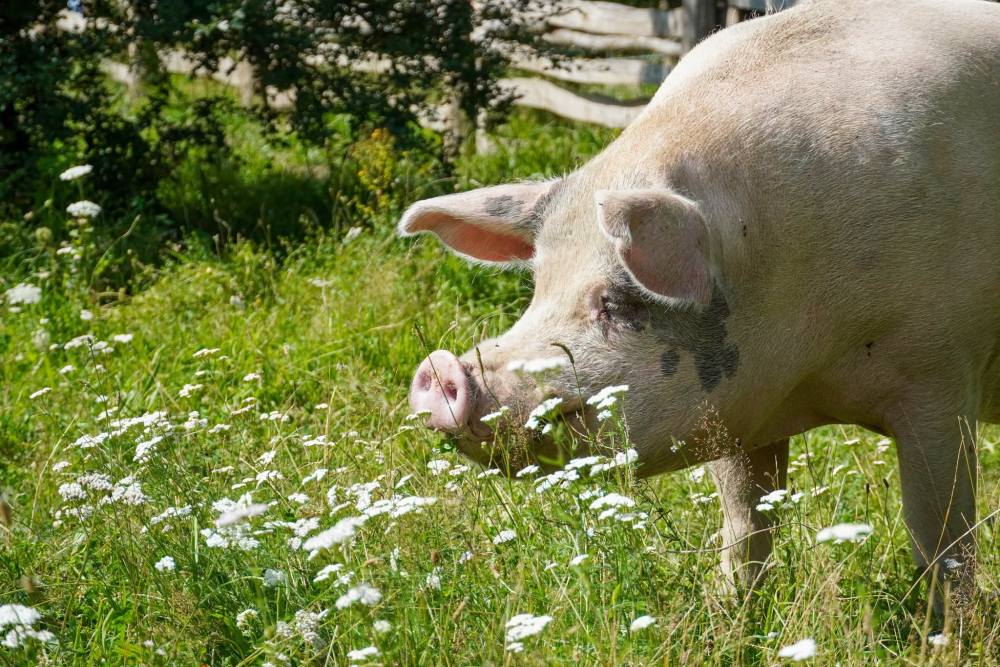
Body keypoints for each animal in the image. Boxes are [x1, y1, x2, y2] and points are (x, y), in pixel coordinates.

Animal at [399, 0, 1000, 610]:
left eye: (617, 301)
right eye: (539, 286)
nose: (442, 371)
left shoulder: (941, 374)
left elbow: (940, 539)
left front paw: (948, 629)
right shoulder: (739, 408)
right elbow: (744, 521)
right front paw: (729, 609)